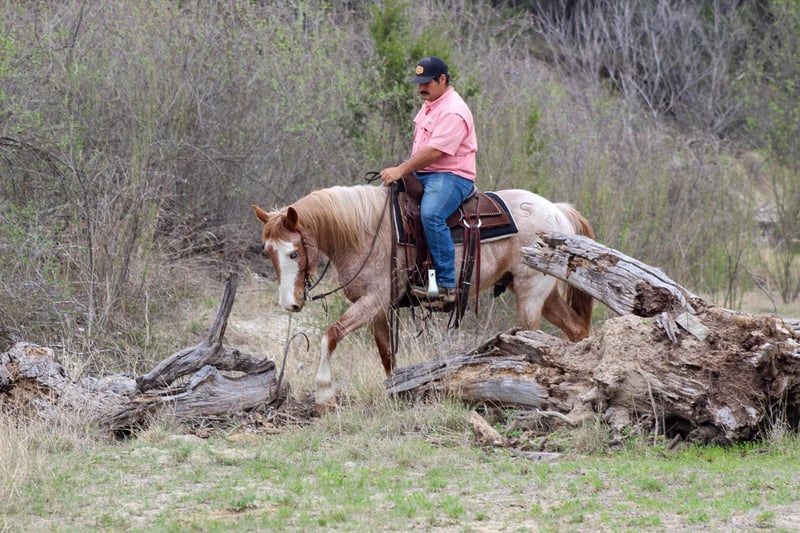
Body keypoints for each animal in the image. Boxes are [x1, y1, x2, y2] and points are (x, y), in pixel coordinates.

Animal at [253, 183, 595, 404]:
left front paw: (324, 392)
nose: (289, 304)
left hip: (530, 293)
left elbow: (331, 334)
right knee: (577, 329)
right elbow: (386, 353)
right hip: (543, 294)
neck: (363, 231)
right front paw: (395, 390)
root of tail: (558, 210)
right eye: (268, 252)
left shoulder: (373, 301)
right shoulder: (379, 308)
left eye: (294, 252)